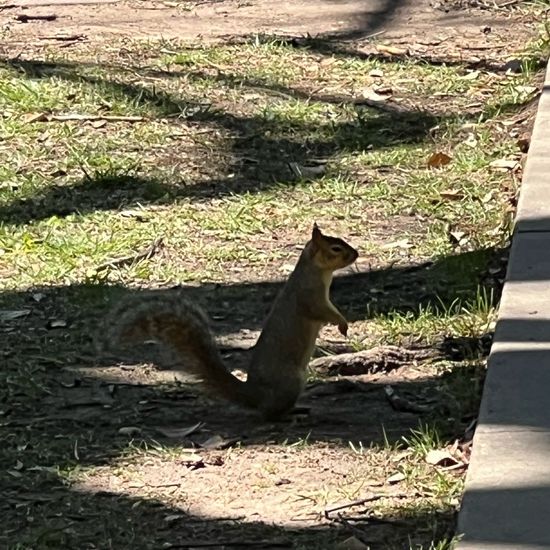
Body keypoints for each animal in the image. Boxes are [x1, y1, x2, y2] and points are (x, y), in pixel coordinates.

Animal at [106, 223, 360, 418]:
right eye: (336, 248)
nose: (356, 254)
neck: (316, 272)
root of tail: (253, 395)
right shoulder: (310, 298)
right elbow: (324, 313)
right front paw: (342, 324)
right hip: (291, 382)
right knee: (270, 414)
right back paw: (291, 414)